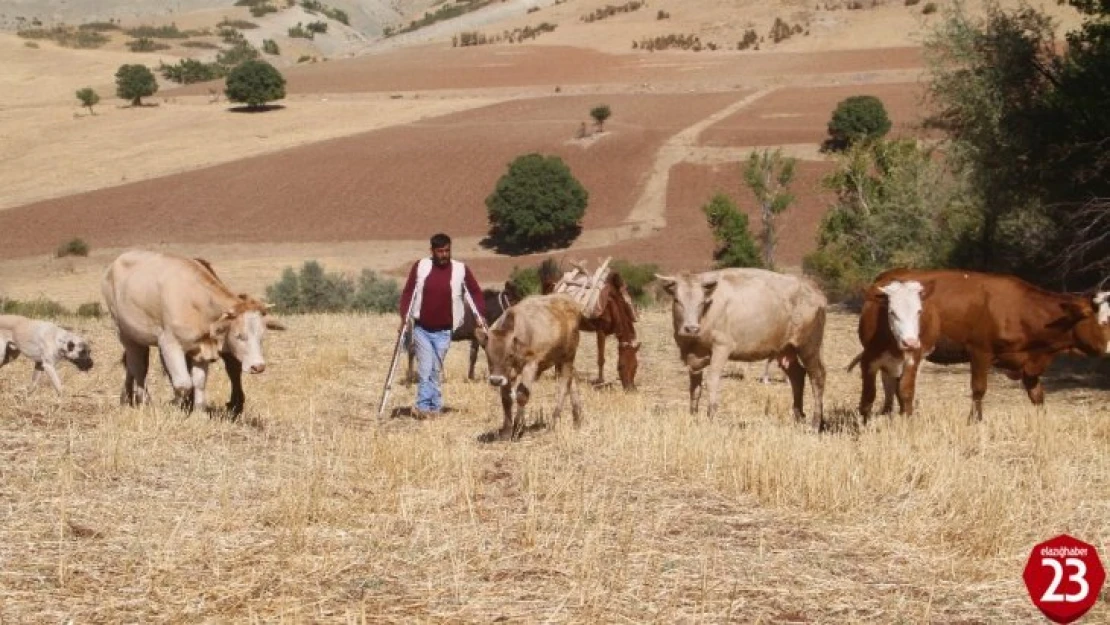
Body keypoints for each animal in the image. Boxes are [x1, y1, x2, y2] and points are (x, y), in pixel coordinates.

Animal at [101, 249, 286, 415]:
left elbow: (199, 382)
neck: (196, 303)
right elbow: (183, 384)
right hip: (127, 335)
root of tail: (116, 263)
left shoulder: (201, 351)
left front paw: (198, 412)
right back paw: (143, 401)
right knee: (137, 368)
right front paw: (176, 407)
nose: (258, 367)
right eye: (239, 336)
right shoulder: (169, 345)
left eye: (262, 337)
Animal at [472, 295, 586, 441]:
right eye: (487, 353)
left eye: (509, 354)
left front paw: (517, 428)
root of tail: (568, 300)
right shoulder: (507, 374)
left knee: (563, 386)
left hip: (568, 357)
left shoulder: (531, 364)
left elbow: (521, 395)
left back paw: (553, 423)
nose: (495, 380)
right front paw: (506, 431)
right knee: (572, 380)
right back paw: (577, 419)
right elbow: (506, 399)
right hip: (560, 360)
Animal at [852, 266, 1105, 424]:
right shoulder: (980, 352)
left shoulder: (1028, 364)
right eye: (1102, 320)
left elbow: (1037, 396)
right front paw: (975, 421)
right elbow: (979, 389)